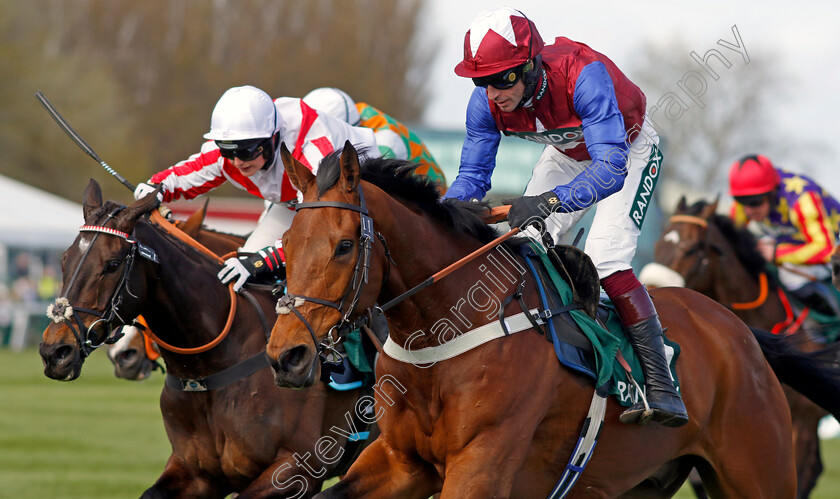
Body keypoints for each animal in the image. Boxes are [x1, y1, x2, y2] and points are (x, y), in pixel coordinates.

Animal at [40, 181, 374, 499]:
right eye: (64, 260)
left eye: (111, 263)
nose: (55, 351)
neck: (211, 365)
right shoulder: (198, 473)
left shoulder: (298, 468)